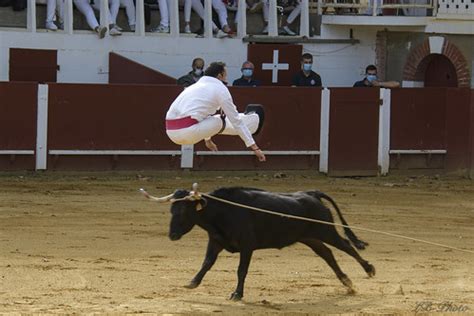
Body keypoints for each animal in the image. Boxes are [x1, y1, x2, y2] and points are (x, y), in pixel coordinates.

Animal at [166, 188, 374, 302]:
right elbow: (207, 263)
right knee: (327, 254)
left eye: (183, 210)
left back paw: (369, 269)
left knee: (346, 246)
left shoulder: (247, 245)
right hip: (310, 238)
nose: (172, 235)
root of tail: (311, 194)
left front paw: (237, 294)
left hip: (325, 231)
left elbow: (241, 270)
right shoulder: (216, 241)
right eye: (171, 210)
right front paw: (192, 282)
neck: (222, 211)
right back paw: (347, 282)